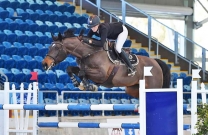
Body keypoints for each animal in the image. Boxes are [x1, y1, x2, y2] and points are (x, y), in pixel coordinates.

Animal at [41, 29, 170, 97]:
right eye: (50, 47)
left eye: (57, 48)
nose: (45, 64)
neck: (89, 53)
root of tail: (156, 61)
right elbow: (70, 69)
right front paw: (80, 84)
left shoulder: (102, 74)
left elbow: (83, 73)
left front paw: (87, 85)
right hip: (133, 89)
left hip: (153, 87)